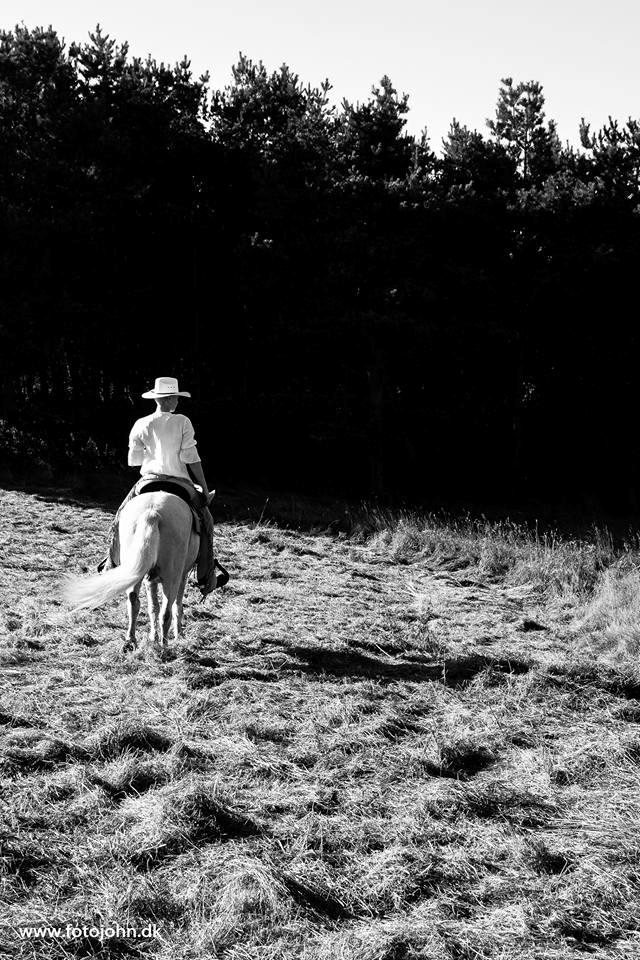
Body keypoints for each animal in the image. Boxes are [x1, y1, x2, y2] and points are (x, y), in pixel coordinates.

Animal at [62, 492, 199, 656]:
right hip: (172, 577)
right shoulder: (182, 576)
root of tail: (152, 513)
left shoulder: (150, 580)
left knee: (134, 602)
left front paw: (153, 637)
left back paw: (131, 641)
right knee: (166, 611)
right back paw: (164, 646)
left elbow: (152, 608)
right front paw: (178, 635)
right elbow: (175, 606)